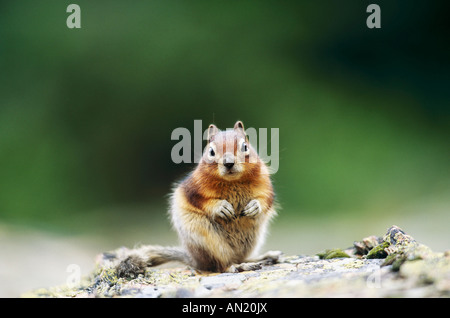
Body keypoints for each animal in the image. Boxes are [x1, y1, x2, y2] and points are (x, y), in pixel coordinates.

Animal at [116, 121, 278, 276]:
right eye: (211, 151)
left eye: (245, 146)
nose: (228, 163)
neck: (233, 181)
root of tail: (194, 259)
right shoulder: (194, 188)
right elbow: (202, 201)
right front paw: (221, 207)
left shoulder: (265, 184)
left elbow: (266, 199)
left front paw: (255, 206)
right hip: (210, 242)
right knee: (221, 265)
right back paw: (239, 266)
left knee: (240, 257)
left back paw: (265, 257)